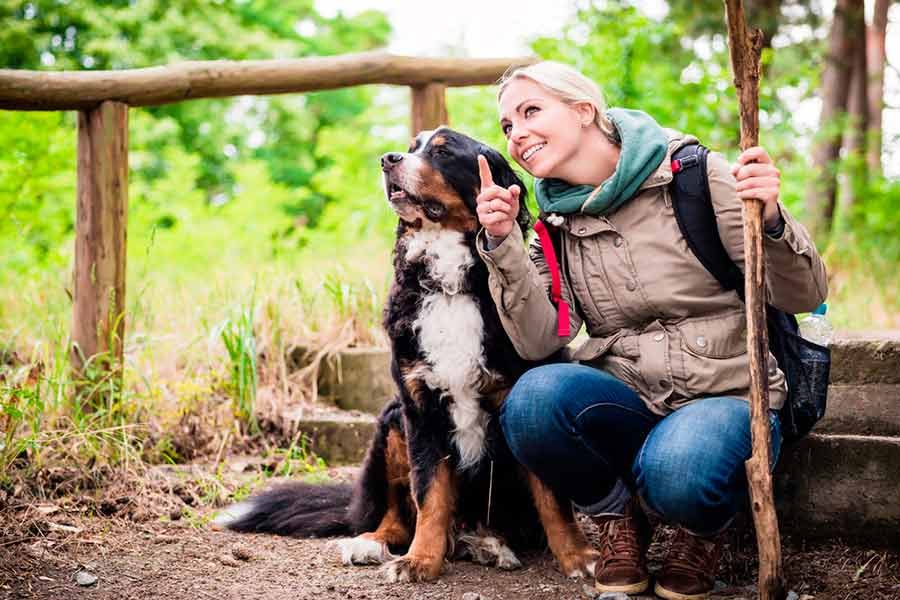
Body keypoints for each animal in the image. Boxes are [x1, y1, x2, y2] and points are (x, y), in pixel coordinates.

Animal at [217, 126, 596, 580]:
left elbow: (554, 501)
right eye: (412, 147)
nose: (388, 159)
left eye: (443, 152)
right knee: (396, 517)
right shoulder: (420, 407)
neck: (450, 285)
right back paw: (371, 543)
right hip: (392, 421)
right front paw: (420, 560)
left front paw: (579, 557)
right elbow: (429, 494)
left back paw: (488, 543)